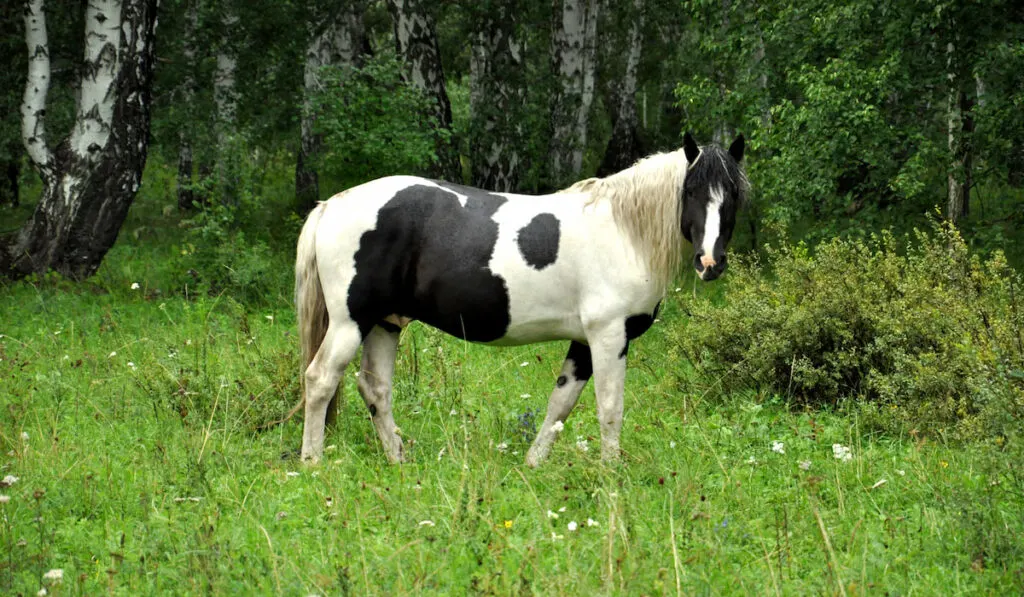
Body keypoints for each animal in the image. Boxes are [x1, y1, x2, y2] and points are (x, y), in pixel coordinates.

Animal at [294, 132, 745, 466]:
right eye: (690, 191)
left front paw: (533, 463)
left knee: (375, 389)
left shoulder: (583, 341)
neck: (624, 231)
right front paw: (611, 474)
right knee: (320, 380)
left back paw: (398, 459)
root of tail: (331, 205)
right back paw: (312, 461)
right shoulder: (608, 336)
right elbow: (610, 407)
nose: (710, 262)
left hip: (385, 323)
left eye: (735, 195)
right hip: (351, 322)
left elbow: (560, 404)